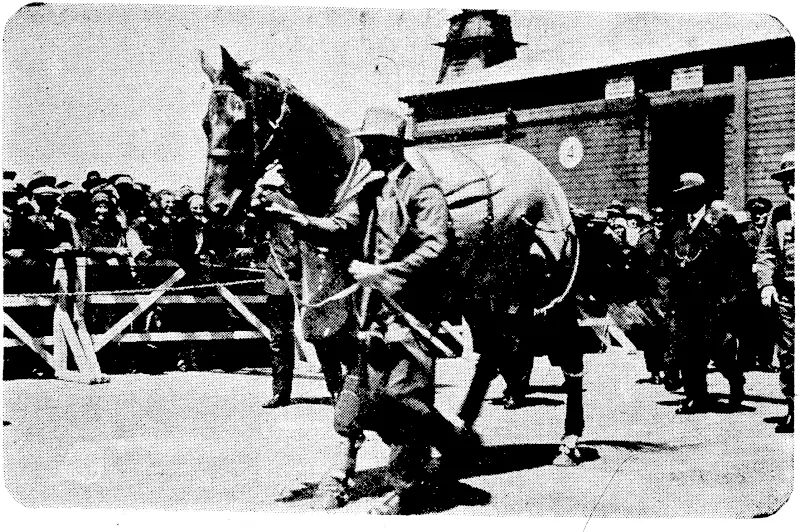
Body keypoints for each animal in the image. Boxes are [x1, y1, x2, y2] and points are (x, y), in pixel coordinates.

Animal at [200, 45, 588, 456]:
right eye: (206, 123)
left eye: (241, 120)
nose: (216, 208)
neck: (344, 180)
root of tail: (548, 183)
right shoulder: (331, 314)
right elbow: (345, 381)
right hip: (486, 294)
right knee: (493, 353)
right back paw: (463, 429)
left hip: (544, 290)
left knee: (565, 352)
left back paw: (568, 437)